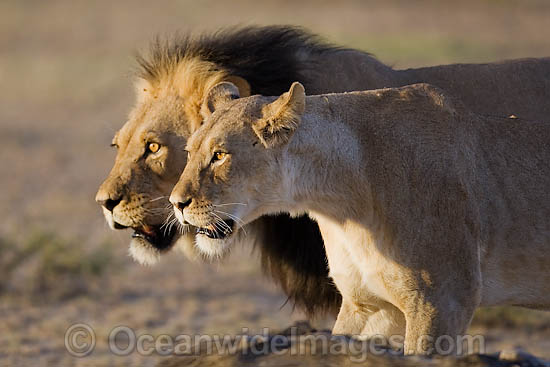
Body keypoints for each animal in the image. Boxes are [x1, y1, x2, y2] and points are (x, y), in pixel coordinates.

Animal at [170, 82, 548, 356]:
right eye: (189, 152)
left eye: (220, 155)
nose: (176, 203)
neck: (340, 206)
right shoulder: (367, 305)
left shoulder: (444, 298)